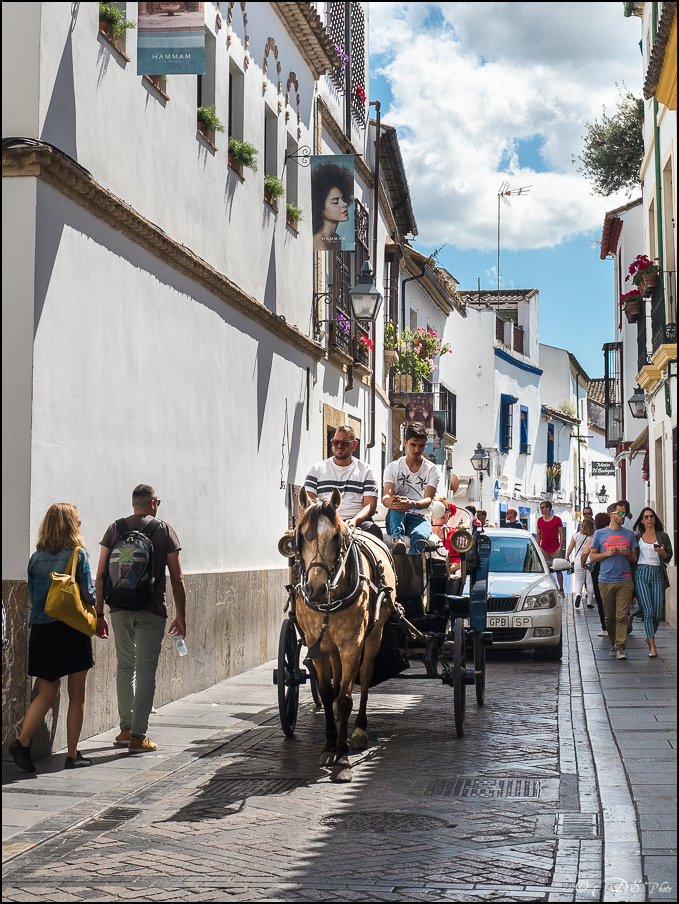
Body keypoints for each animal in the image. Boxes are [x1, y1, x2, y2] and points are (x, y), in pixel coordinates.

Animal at [290, 488, 396, 784]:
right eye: (299, 537)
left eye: (337, 536)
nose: (315, 589)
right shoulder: (318, 646)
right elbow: (328, 694)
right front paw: (329, 747)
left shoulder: (352, 645)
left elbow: (347, 698)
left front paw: (342, 758)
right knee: (338, 681)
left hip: (374, 636)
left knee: (366, 675)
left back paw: (358, 731)